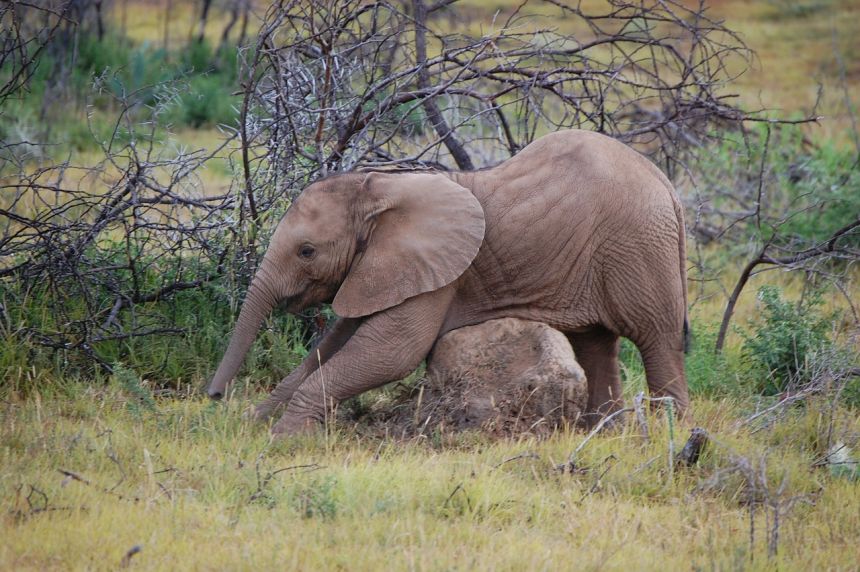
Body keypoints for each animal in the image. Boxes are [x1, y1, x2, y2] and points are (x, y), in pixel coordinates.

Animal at [210, 130, 692, 434]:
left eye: (307, 251)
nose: (215, 398)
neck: (381, 187)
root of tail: (666, 184)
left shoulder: (439, 272)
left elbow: (390, 353)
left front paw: (285, 438)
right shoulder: (381, 268)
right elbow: (334, 345)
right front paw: (255, 422)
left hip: (638, 247)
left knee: (656, 341)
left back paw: (670, 434)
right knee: (595, 345)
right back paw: (602, 432)